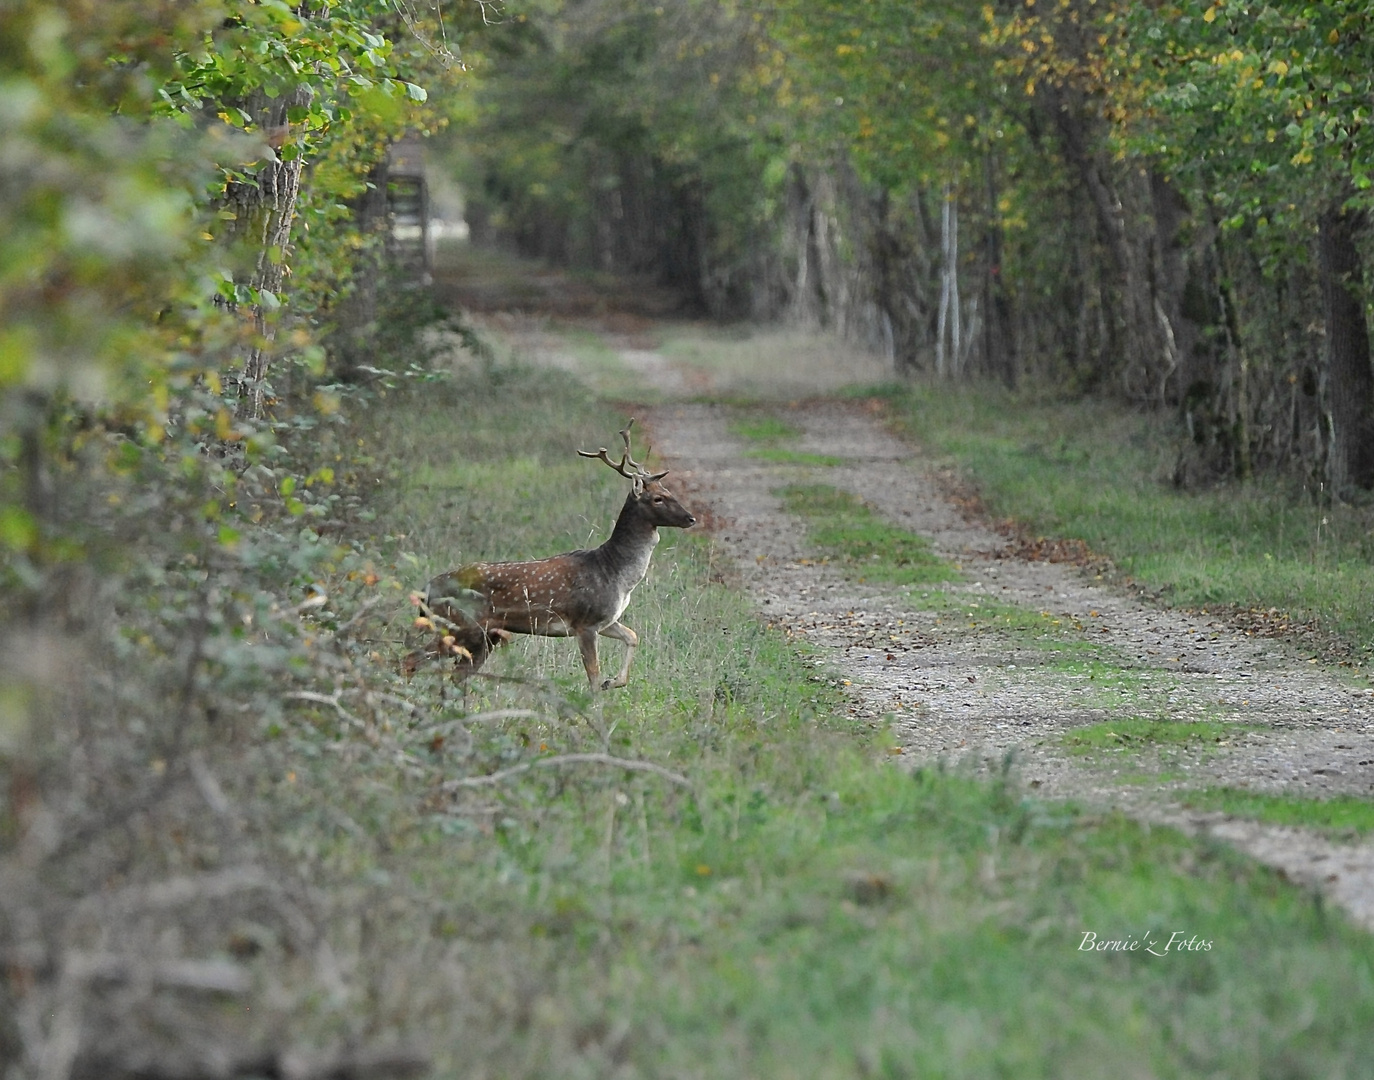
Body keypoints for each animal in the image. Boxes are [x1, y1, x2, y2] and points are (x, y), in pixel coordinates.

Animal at [401, 417, 692, 687]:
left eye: (667, 490)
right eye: (657, 499)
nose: (691, 518)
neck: (616, 573)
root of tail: (426, 591)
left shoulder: (607, 619)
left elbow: (633, 637)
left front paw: (614, 681)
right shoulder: (585, 622)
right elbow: (593, 678)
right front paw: (600, 696)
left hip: (482, 635)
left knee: (455, 675)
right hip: (457, 624)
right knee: (410, 660)